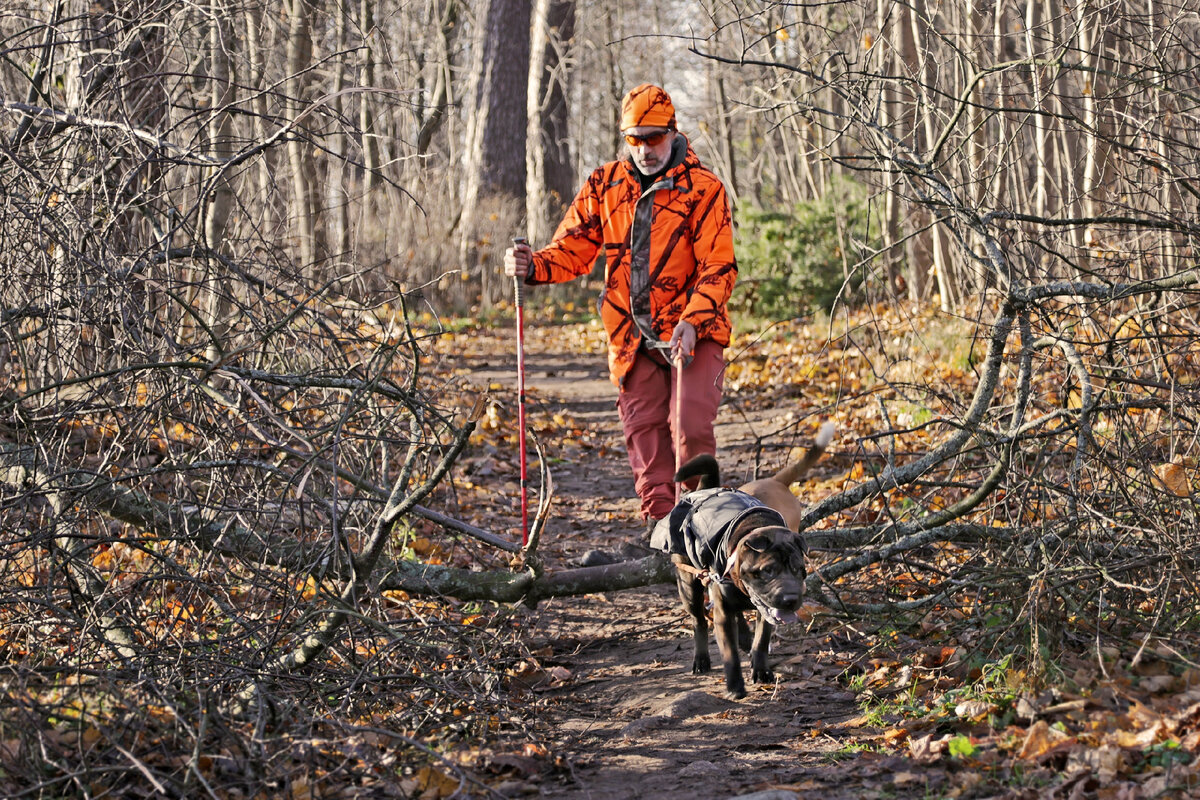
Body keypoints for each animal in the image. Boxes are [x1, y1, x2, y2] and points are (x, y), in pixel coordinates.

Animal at [648, 422, 835, 695]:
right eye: (768, 570)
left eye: (800, 570)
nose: (790, 600)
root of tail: (774, 481)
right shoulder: (724, 613)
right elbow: (729, 652)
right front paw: (735, 684)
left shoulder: (766, 610)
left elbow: (761, 640)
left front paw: (761, 669)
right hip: (688, 583)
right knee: (699, 621)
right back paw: (701, 659)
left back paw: (744, 637)